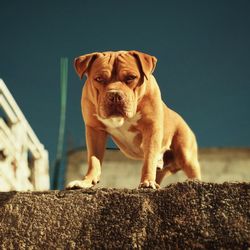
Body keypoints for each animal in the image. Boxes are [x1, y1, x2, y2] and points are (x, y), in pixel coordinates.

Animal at [67, 49, 201, 188]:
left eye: (131, 77)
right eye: (99, 78)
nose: (115, 95)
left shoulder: (151, 129)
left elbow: (149, 159)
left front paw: (147, 182)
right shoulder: (95, 130)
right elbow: (94, 160)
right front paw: (86, 182)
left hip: (185, 153)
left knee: (191, 169)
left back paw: (193, 181)